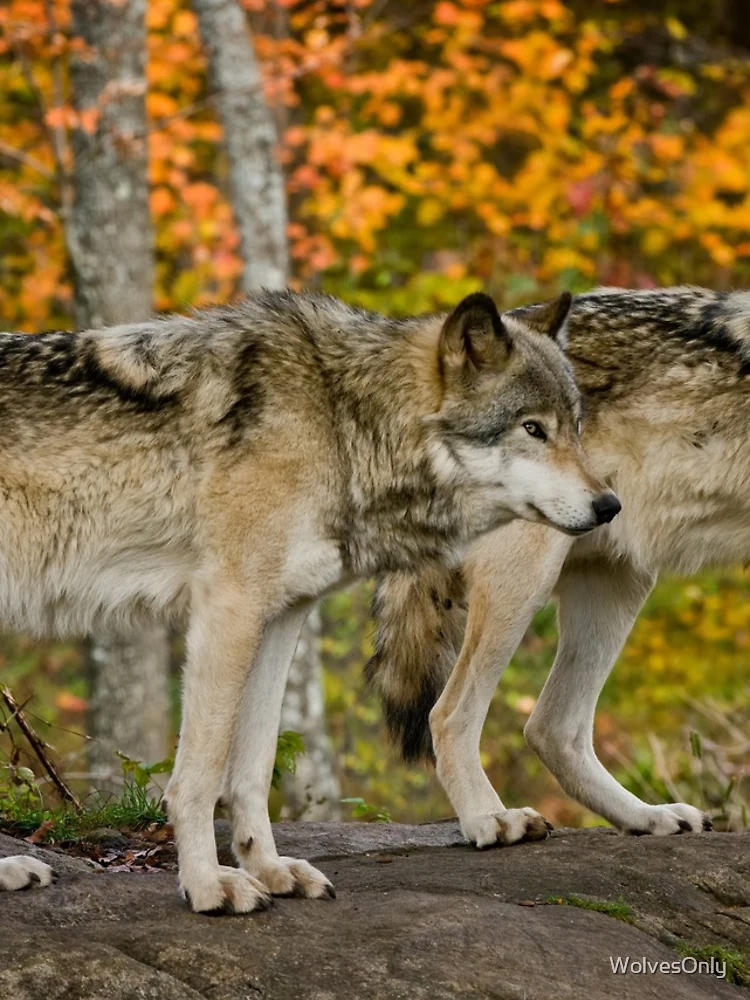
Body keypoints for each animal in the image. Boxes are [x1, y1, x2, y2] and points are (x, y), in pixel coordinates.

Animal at [0, 288, 618, 909]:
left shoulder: (280, 617)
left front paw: (269, 869)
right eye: (532, 429)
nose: (610, 505)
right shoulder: (230, 607)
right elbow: (200, 773)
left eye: (576, 427)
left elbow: (252, 767)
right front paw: (207, 885)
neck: (341, 421)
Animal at [369, 285, 748, 848]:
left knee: (552, 728)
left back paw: (646, 816)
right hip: (524, 582)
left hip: (618, 585)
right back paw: (490, 819)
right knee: (450, 713)